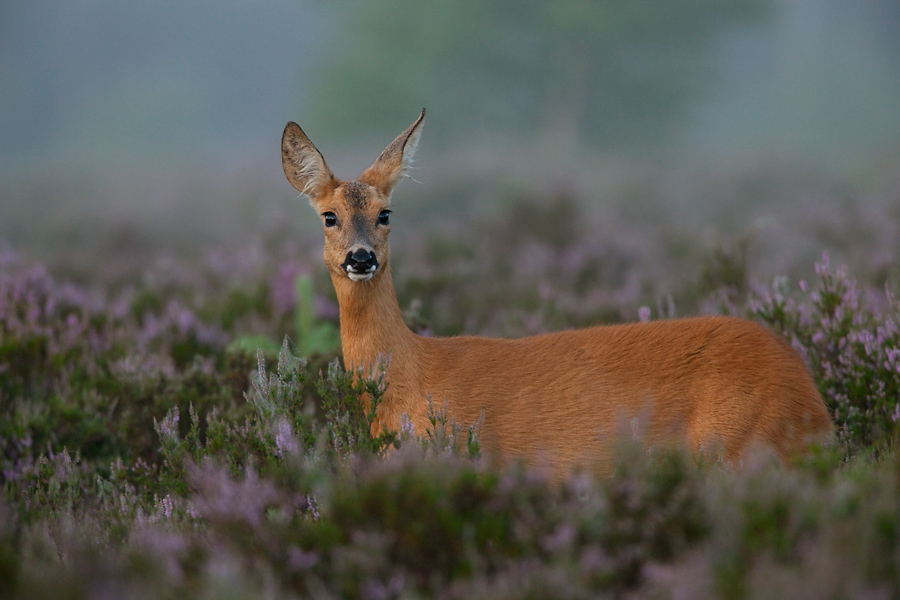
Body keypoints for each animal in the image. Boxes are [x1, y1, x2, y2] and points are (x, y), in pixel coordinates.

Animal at [284, 110, 836, 472]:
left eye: (386, 213)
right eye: (329, 215)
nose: (361, 258)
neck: (407, 381)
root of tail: (814, 405)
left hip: (735, 448)